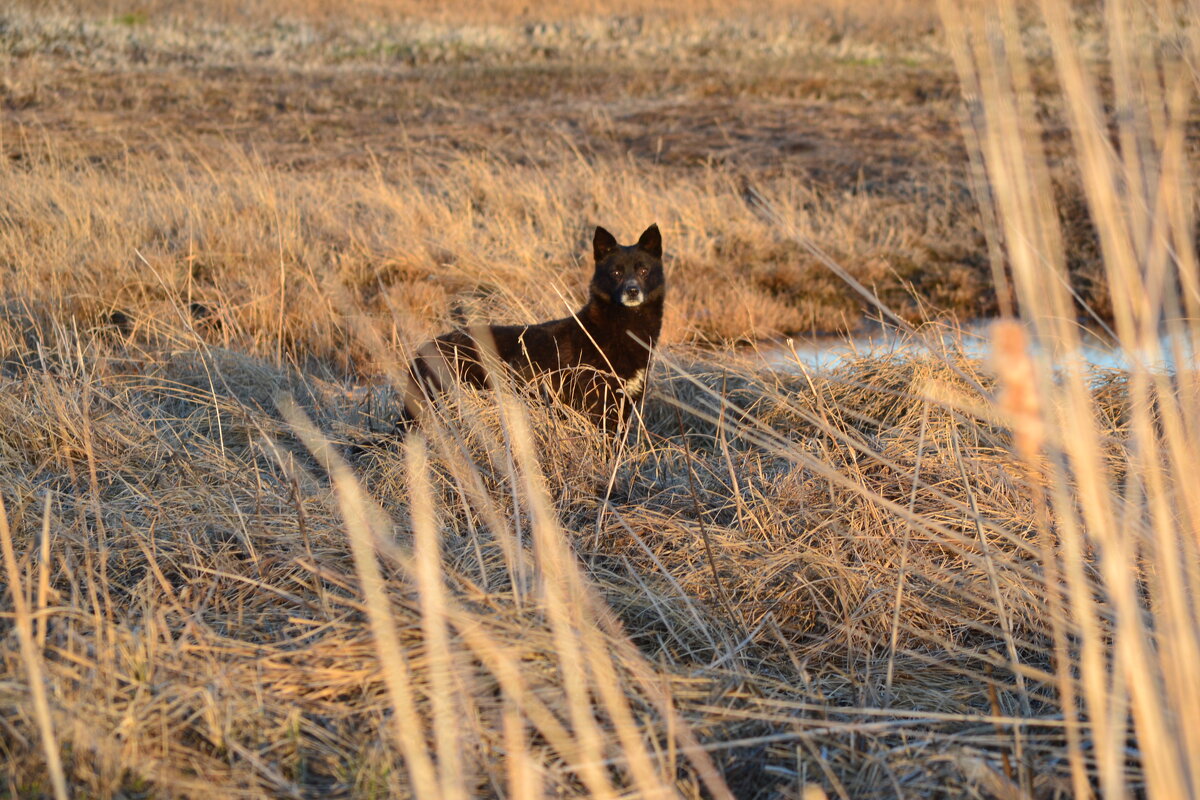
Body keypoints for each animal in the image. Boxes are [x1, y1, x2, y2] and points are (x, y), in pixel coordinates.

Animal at [396, 221, 667, 434]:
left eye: (644, 270)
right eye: (616, 272)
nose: (632, 291)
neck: (622, 326)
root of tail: (419, 353)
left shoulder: (623, 407)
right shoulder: (597, 408)